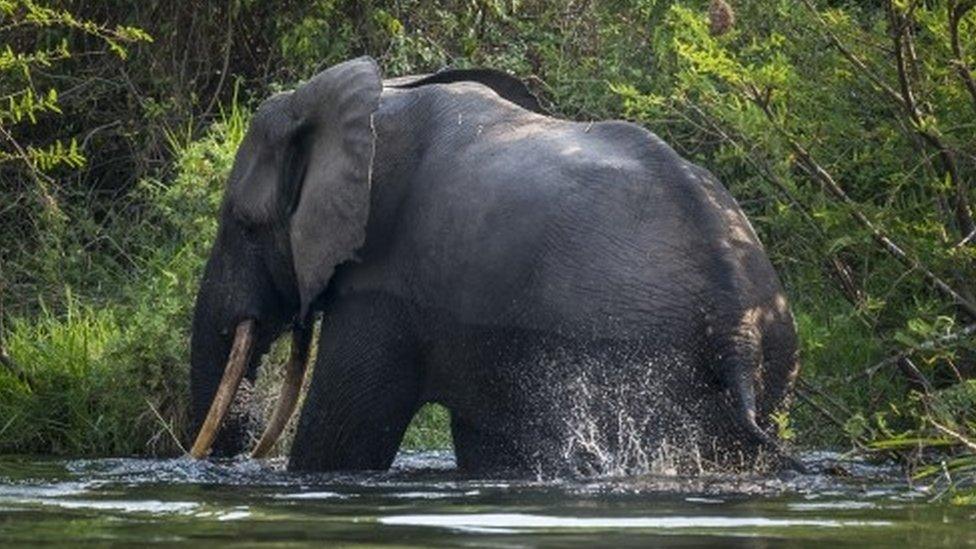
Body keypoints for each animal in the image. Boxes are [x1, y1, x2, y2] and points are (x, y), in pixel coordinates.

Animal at [189, 56, 800, 476]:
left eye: (243, 223)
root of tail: (736, 326)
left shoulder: (384, 285)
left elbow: (340, 443)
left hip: (625, 352)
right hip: (768, 361)